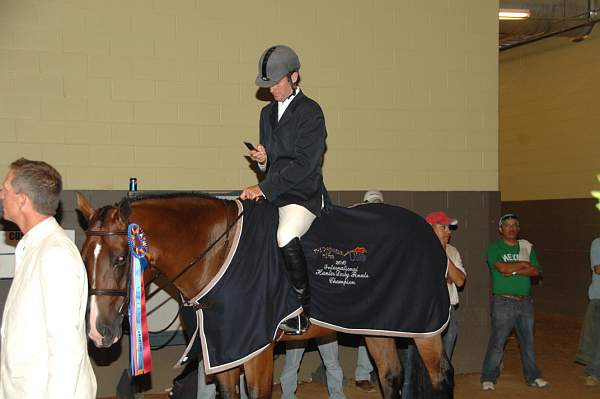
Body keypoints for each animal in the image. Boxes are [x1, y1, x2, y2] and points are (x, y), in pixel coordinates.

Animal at [76, 192, 450, 398]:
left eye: (120, 259)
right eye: (83, 257)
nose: (98, 332)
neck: (220, 249)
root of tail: (429, 232)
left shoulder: (256, 349)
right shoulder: (226, 345)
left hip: (425, 329)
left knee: (441, 376)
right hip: (377, 327)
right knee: (391, 377)